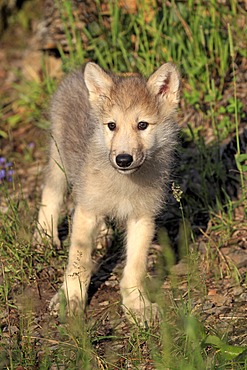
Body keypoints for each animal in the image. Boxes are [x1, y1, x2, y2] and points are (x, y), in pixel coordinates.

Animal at [35, 62, 180, 324]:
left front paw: (137, 306)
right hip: (59, 159)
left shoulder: (142, 218)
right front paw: (70, 299)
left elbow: (135, 268)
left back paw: (102, 235)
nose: (123, 159)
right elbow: (79, 262)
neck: (124, 185)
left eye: (142, 125)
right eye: (112, 125)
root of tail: (76, 72)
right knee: (51, 193)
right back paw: (44, 237)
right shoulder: (87, 211)